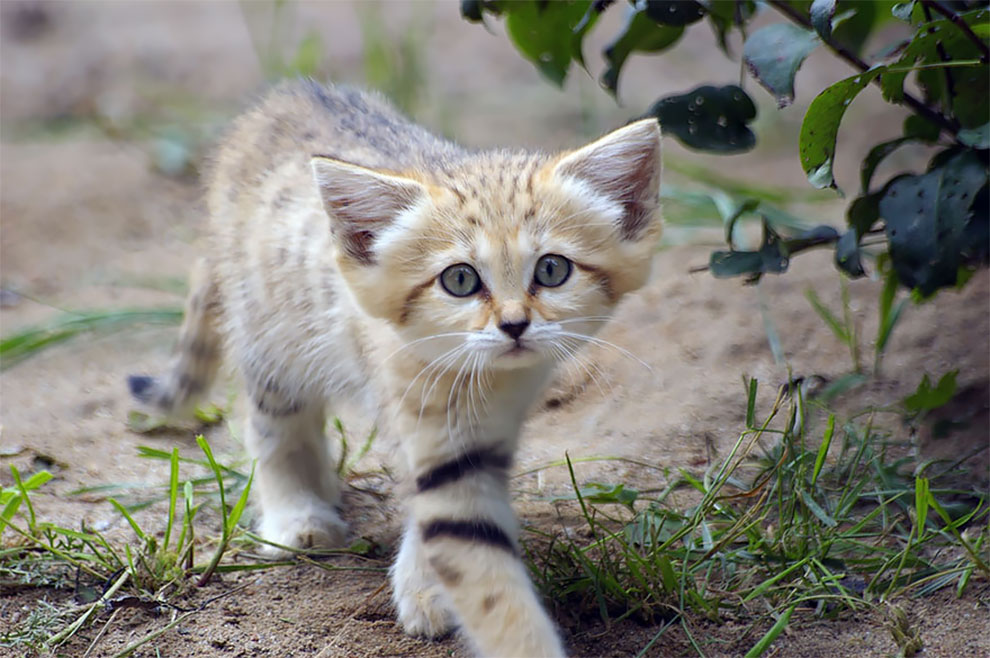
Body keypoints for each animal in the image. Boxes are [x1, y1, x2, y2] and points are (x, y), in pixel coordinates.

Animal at [128, 80, 664, 656]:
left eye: (551, 270)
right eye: (460, 280)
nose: (515, 325)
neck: (483, 380)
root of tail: (281, 98)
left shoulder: (487, 436)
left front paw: (423, 586)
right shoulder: (432, 430)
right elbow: (480, 570)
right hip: (269, 338)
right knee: (275, 426)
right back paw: (298, 513)